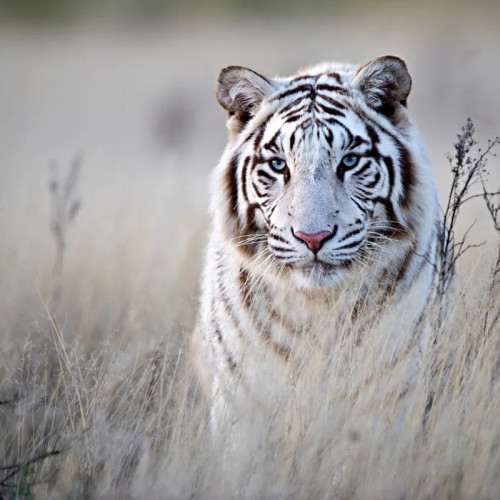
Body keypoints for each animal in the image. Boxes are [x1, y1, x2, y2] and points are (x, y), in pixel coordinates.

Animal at [192, 56, 446, 444]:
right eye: (279, 165)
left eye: (350, 162)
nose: (313, 237)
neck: (318, 308)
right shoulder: (245, 405)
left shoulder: (392, 394)